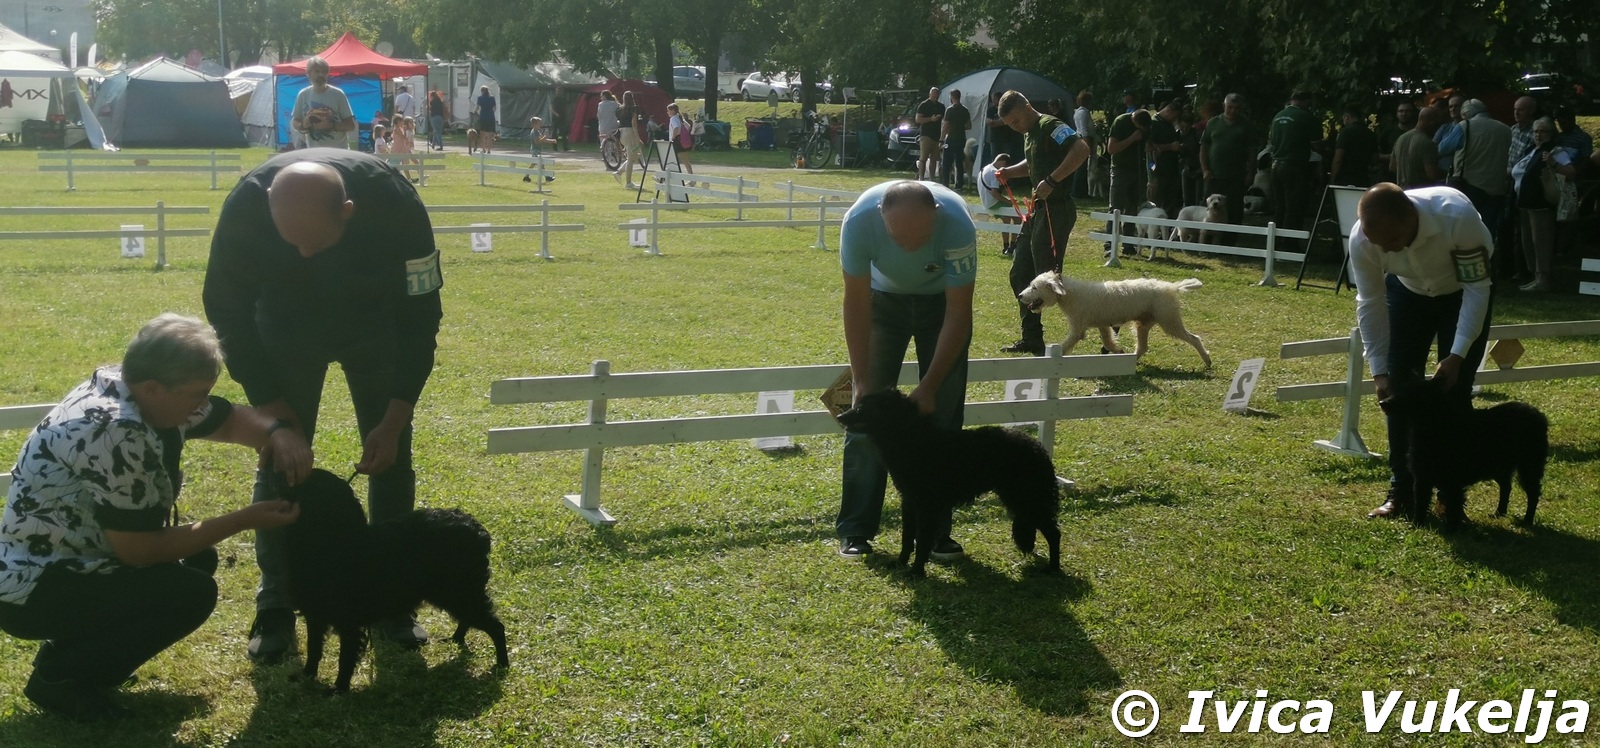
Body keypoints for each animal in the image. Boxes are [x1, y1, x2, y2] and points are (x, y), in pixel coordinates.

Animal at [279, 468, 510, 692]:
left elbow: (345, 658)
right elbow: (313, 648)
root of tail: (477, 528)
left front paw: (339, 689)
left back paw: (502, 664)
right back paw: (456, 639)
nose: (277, 471)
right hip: (458, 593)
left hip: (459, 592)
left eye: (305, 482)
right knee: (470, 619)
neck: (334, 542)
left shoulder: (349, 622)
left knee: (496, 626)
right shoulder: (315, 616)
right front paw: (307, 676)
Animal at [836, 389, 1062, 577]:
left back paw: (1053, 568)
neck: (913, 440)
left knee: (1054, 533)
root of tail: (1038, 448)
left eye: (863, 408)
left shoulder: (926, 506)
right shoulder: (909, 502)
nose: (839, 416)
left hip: (1027, 499)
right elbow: (907, 538)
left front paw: (916, 572)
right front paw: (900, 563)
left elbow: (922, 540)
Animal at [1017, 271, 1213, 368]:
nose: (1019, 296)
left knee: (1194, 338)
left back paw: (1207, 360)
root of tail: (1172, 287)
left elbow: (1066, 345)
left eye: (1034, 287)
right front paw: (1117, 350)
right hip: (1143, 324)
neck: (1069, 294)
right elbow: (1108, 341)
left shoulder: (1077, 329)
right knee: (1142, 347)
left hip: (1169, 321)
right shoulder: (1103, 325)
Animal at [1379, 371, 1549, 527]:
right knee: (1506, 487)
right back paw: (1499, 513)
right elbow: (1421, 502)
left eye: (1412, 394)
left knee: (1533, 494)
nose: (1382, 402)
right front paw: (1416, 525)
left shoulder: (1453, 481)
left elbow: (1452, 506)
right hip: (1500, 467)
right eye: (1399, 389)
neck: (1435, 428)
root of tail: (1539, 415)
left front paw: (1452, 529)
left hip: (1529, 467)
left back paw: (1527, 521)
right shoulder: (1422, 477)